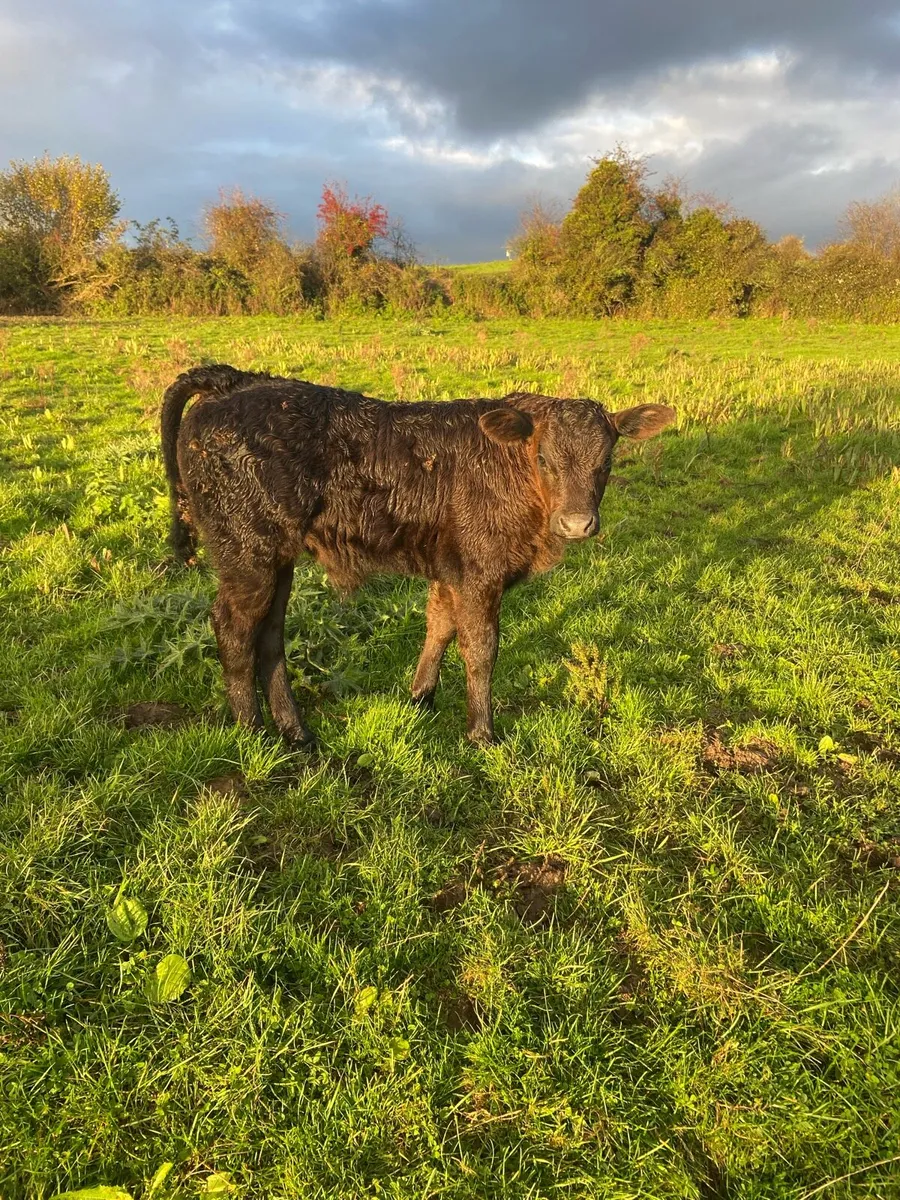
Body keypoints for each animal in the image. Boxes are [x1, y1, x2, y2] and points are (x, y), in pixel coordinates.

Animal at [161, 365, 674, 746]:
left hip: (275, 556)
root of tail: (234, 380)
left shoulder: (451, 569)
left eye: (606, 461)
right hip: (248, 553)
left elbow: (440, 627)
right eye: (544, 459)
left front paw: (419, 698)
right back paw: (251, 731)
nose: (577, 523)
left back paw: (296, 731)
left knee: (269, 632)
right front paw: (481, 734)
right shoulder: (479, 571)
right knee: (233, 627)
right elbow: (481, 648)